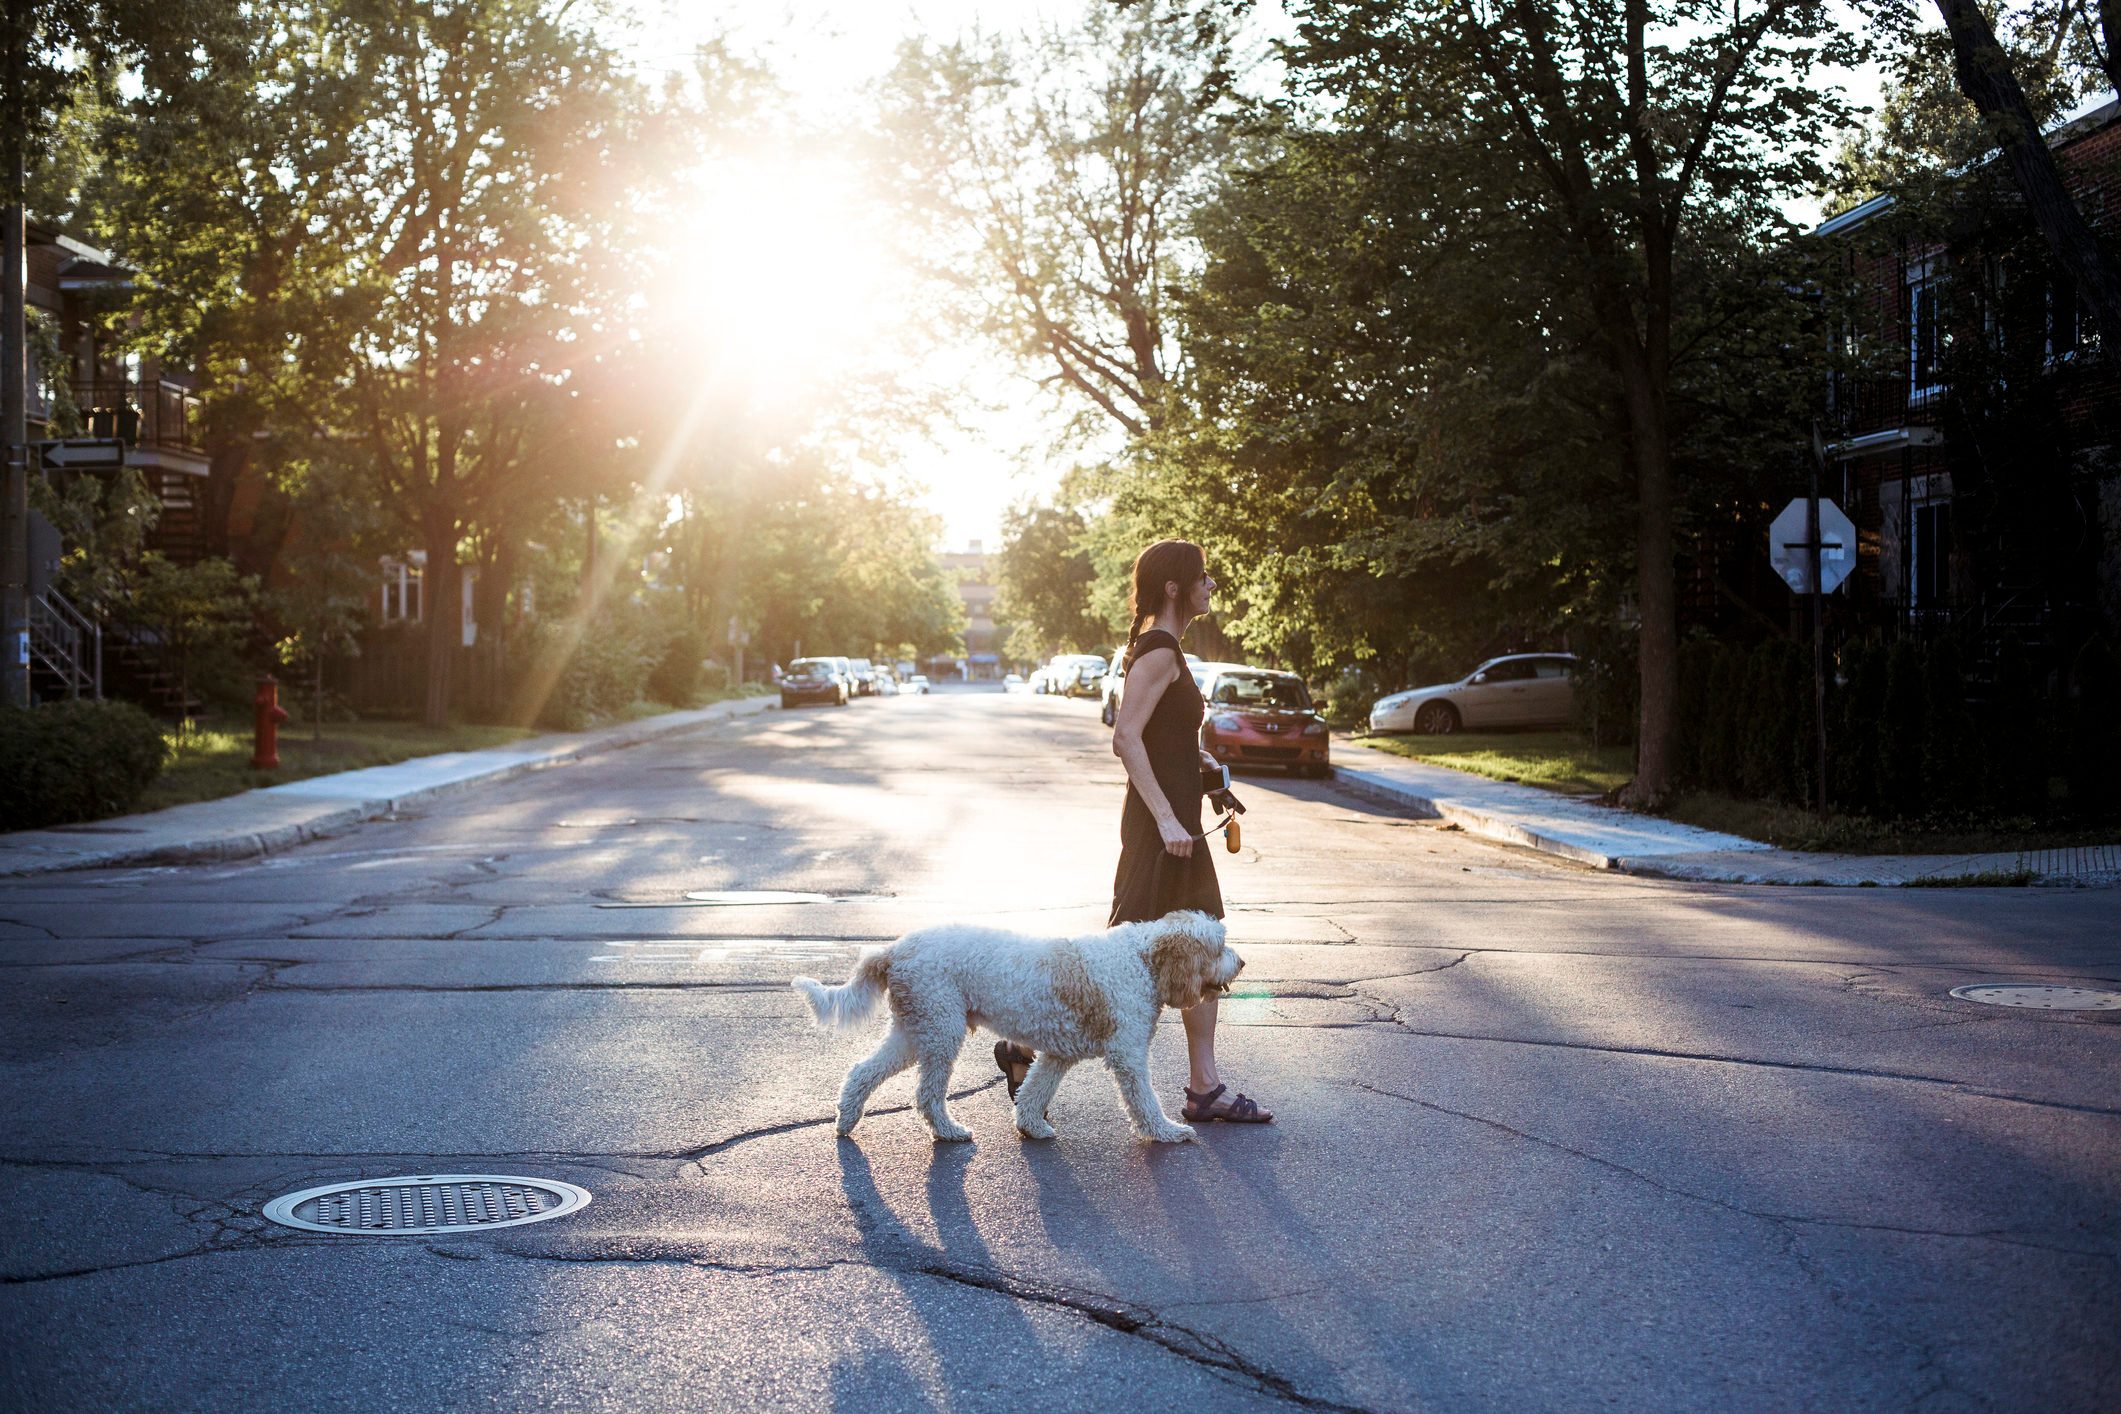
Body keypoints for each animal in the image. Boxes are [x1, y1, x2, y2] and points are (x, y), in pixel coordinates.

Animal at [789, 911, 1238, 1144]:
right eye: (1218, 948)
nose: (1242, 962)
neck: (1141, 960)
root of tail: (894, 949)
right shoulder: (1128, 1056)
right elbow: (1144, 1101)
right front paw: (1167, 1132)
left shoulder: (1058, 1056)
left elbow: (1034, 1091)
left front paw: (1032, 1127)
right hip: (940, 1031)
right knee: (927, 1094)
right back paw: (948, 1131)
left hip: (916, 1030)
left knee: (863, 1071)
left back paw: (846, 1121)